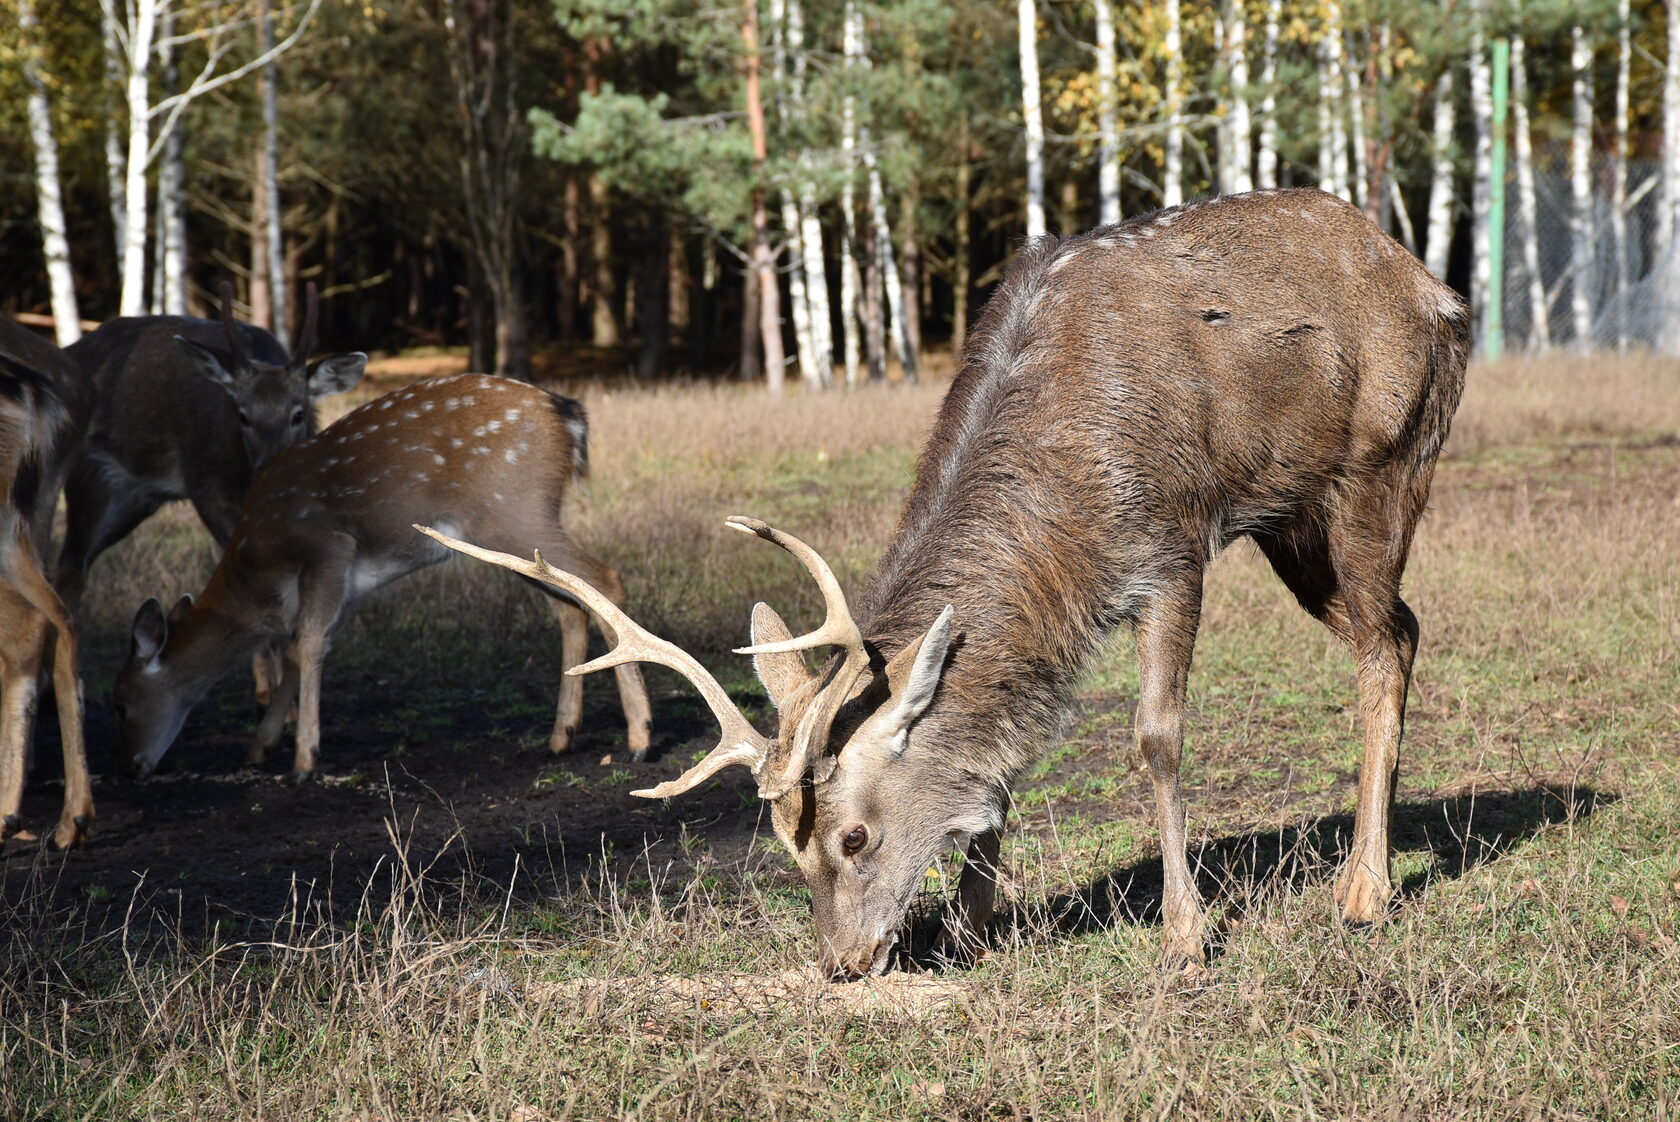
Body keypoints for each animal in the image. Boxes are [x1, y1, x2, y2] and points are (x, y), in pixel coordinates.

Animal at [113, 374, 648, 779]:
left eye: (122, 703)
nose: (133, 767)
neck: (256, 568)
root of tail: (568, 416)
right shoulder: (346, 587)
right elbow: (304, 645)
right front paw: (260, 746)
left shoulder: (328, 546)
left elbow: (305, 644)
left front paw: (303, 761)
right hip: (509, 532)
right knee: (570, 603)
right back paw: (561, 737)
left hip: (512, 511)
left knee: (605, 580)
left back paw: (640, 736)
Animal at [430, 188, 1471, 974]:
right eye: (787, 848)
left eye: (853, 838)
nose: (843, 962)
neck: (1072, 509)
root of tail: (1436, 290)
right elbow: (1004, 746)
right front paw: (974, 926)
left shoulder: (1173, 544)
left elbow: (1157, 737)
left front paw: (1185, 936)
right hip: (1289, 521)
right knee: (1405, 626)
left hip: (1381, 466)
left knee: (1389, 635)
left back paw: (1364, 891)